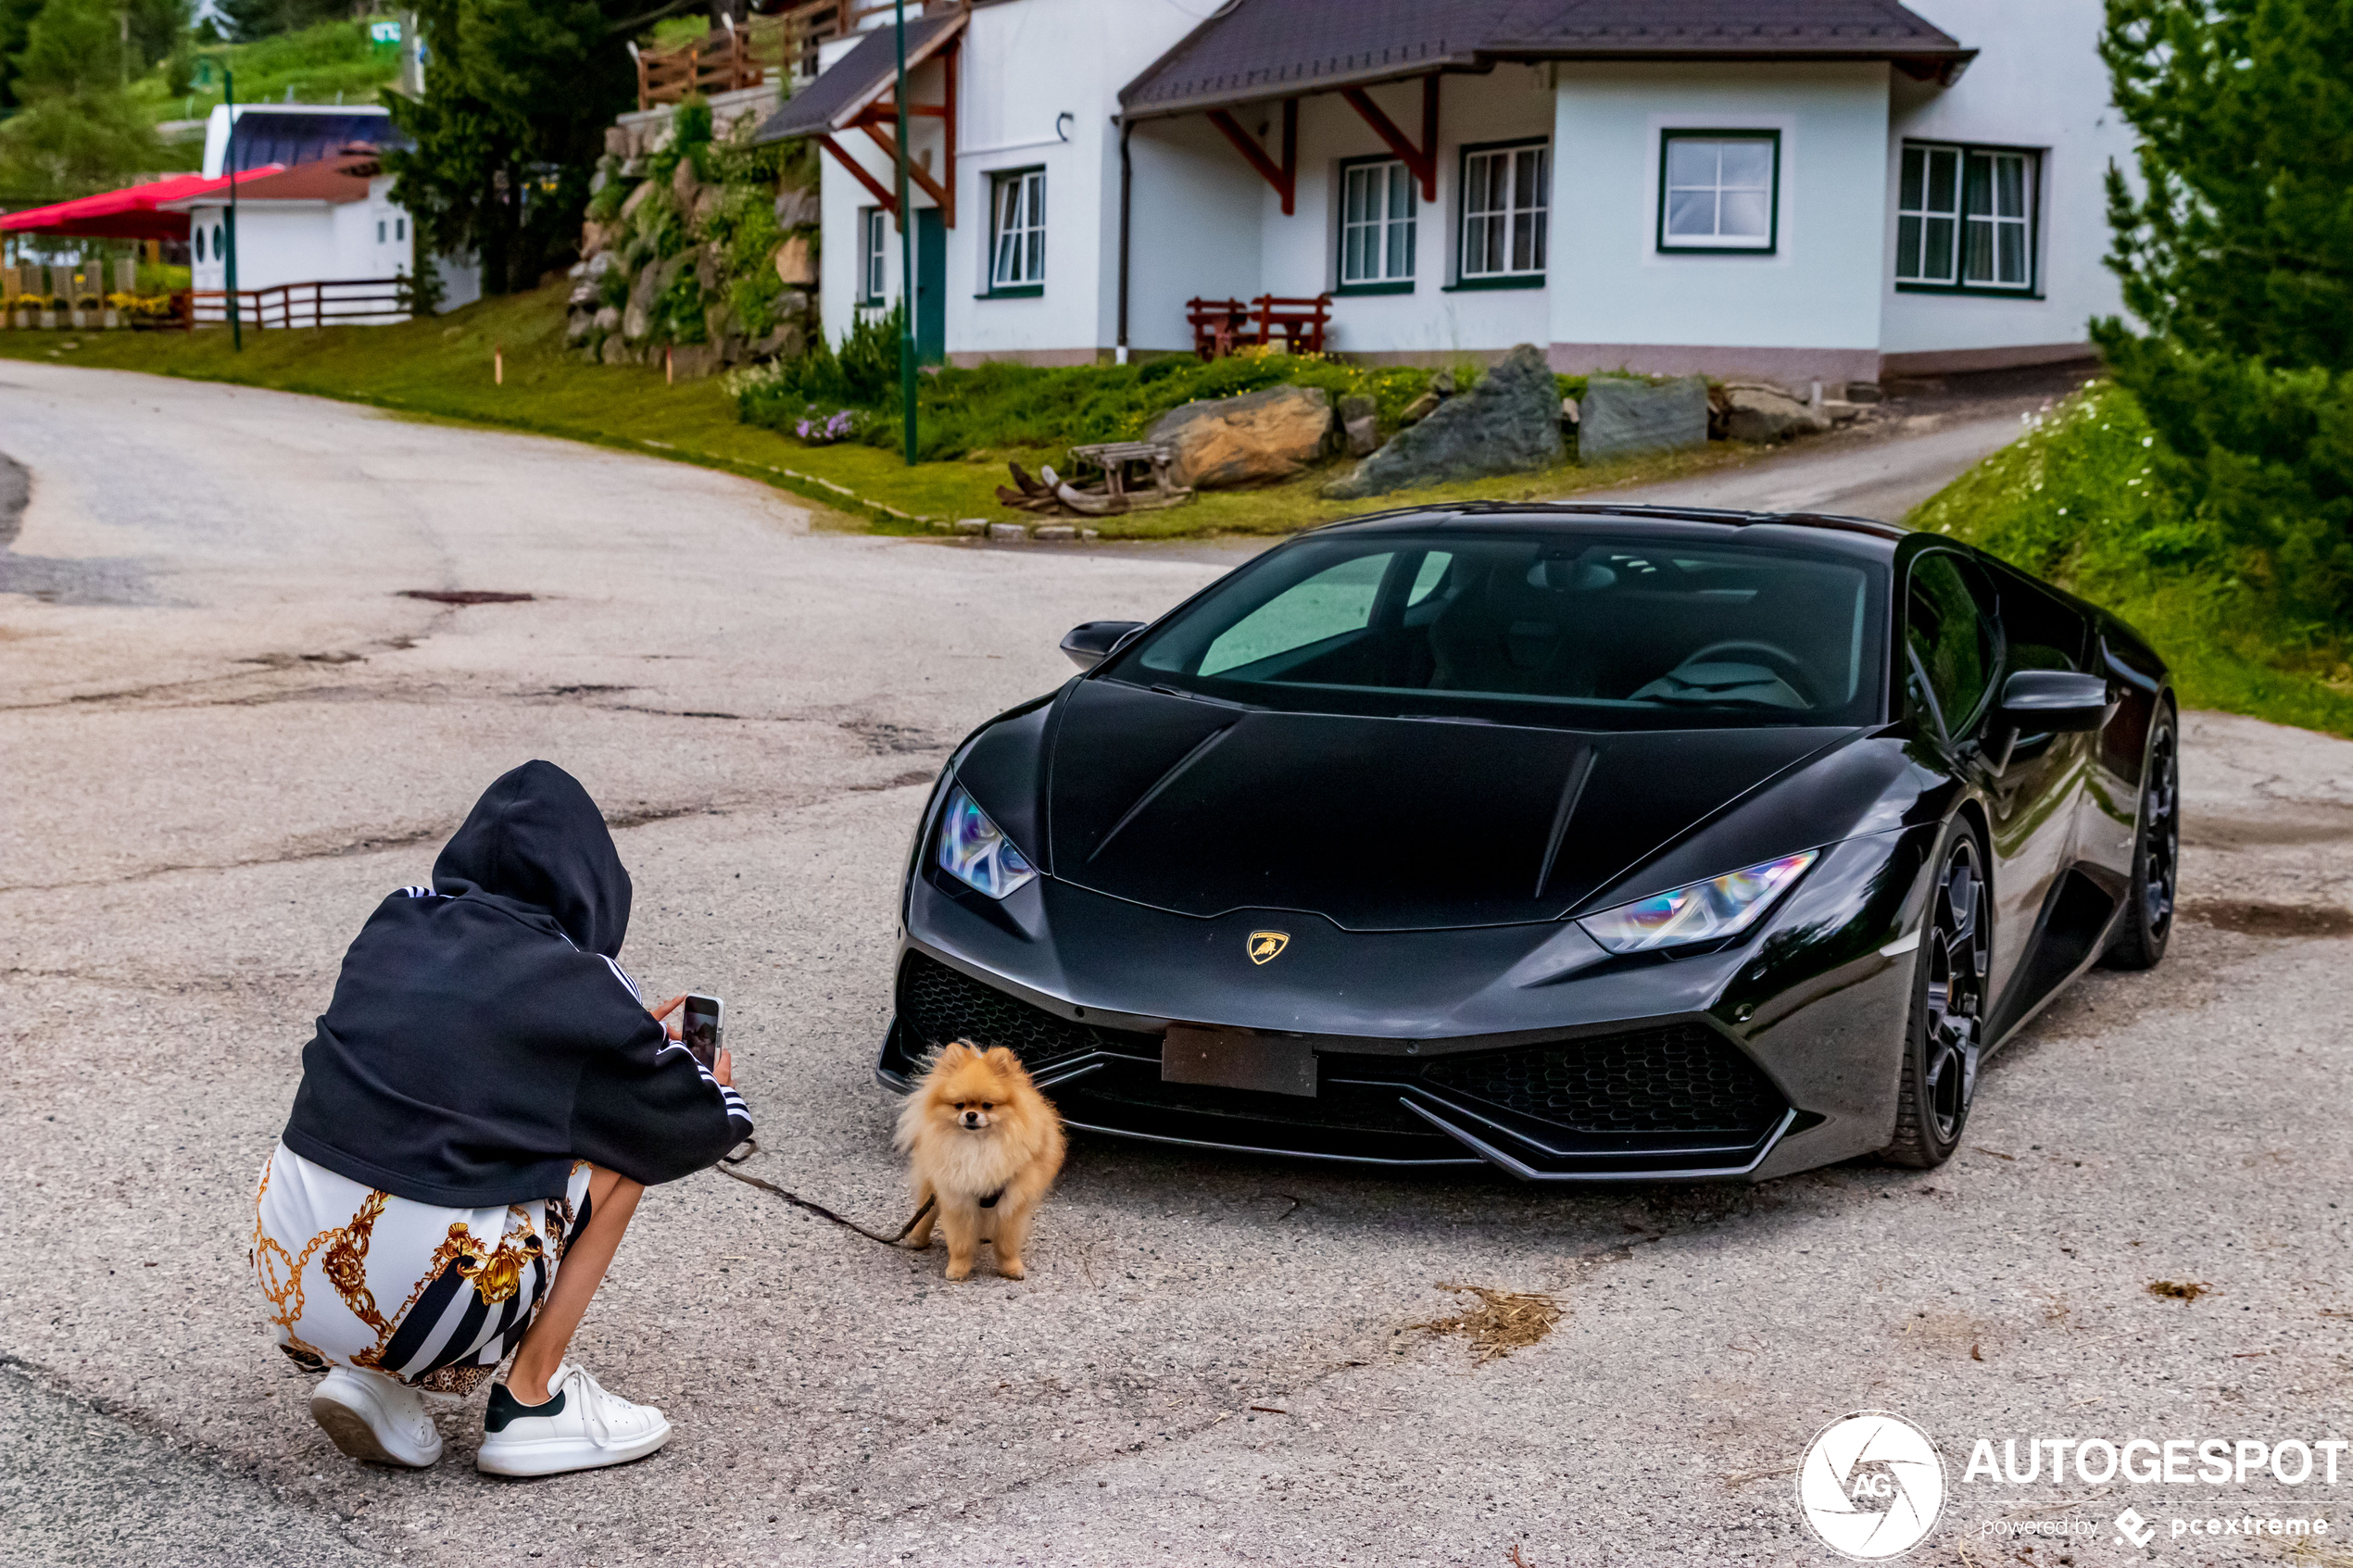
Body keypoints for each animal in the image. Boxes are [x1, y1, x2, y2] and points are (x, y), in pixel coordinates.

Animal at [899, 1034, 1068, 1278]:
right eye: (959, 1105)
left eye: (988, 1105)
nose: (970, 1114)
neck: (979, 1145)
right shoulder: (958, 1199)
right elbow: (960, 1242)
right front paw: (957, 1270)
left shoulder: (1012, 1201)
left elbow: (1007, 1244)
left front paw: (1011, 1269)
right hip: (931, 1183)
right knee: (926, 1212)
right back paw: (916, 1238)